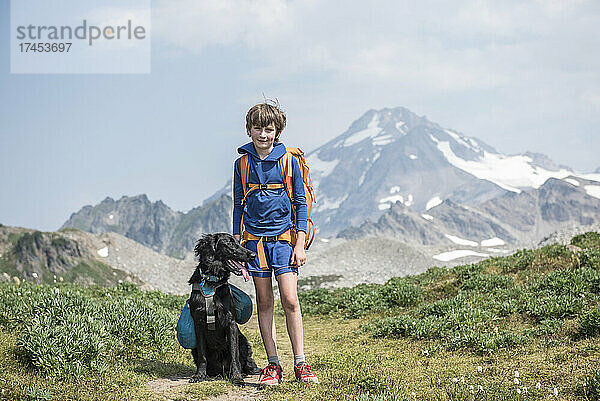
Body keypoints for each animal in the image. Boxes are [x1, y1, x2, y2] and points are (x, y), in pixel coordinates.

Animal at [189, 233, 262, 382]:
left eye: (238, 242)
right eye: (230, 243)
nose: (253, 255)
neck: (212, 283)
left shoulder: (230, 322)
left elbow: (234, 355)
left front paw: (237, 377)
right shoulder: (198, 323)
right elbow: (202, 355)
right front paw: (200, 375)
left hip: (243, 341)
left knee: (245, 362)